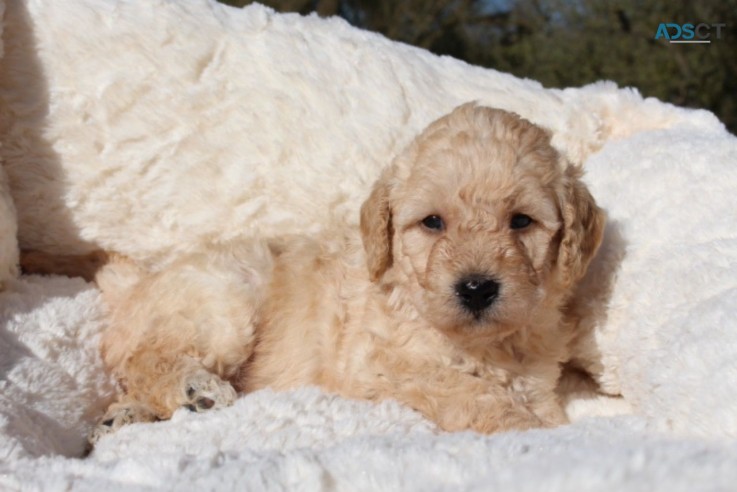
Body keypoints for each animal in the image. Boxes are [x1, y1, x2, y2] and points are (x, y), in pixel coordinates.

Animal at [21, 104, 604, 442]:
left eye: (521, 221)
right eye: (433, 222)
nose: (478, 288)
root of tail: (139, 280)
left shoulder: (535, 379)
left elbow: (534, 404)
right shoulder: (383, 368)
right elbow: (469, 394)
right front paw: (530, 436)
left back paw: (120, 420)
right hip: (225, 297)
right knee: (144, 356)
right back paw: (194, 389)